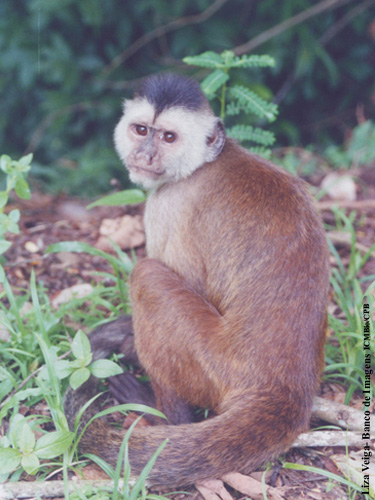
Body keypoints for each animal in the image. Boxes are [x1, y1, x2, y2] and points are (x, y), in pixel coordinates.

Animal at [64, 72, 328, 490]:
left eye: (168, 137)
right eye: (141, 130)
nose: (146, 155)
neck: (203, 164)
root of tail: (287, 389)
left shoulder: (171, 203)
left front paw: (130, 345)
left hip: (215, 368)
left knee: (148, 276)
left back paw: (163, 413)